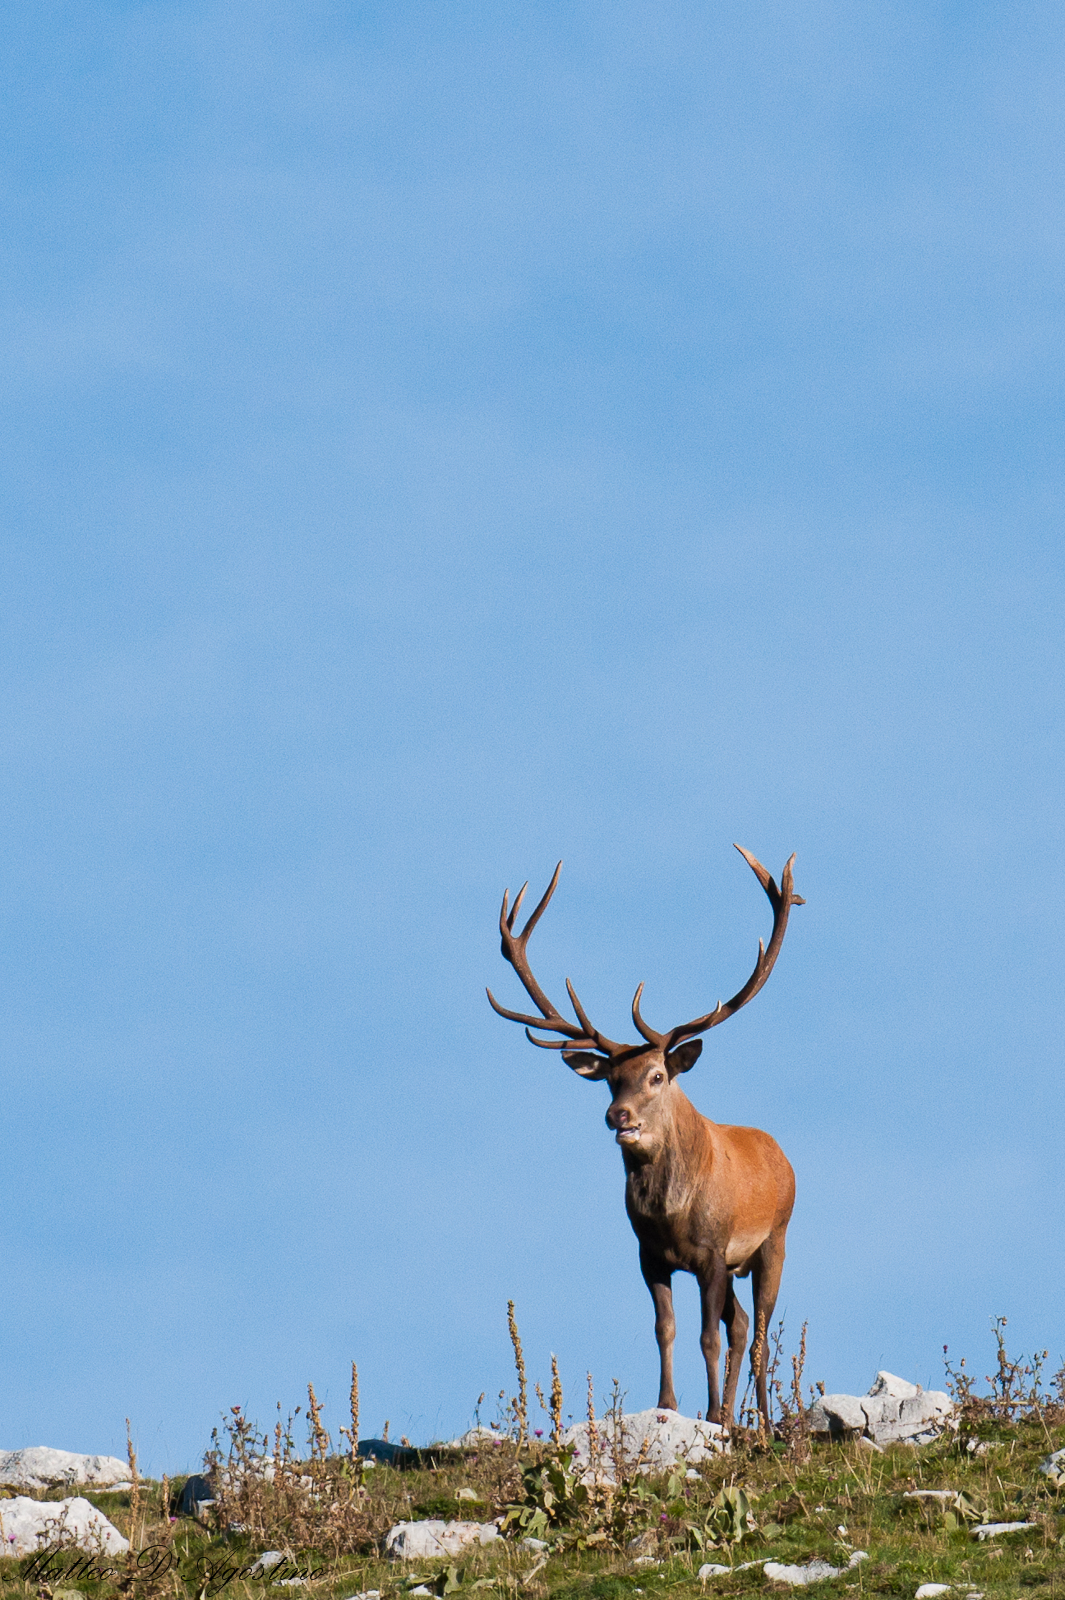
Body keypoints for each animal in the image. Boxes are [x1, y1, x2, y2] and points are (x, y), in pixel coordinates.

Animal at [487, 845, 803, 1432]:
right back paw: (734, 1415)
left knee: (760, 1333)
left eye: (657, 1075)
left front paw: (708, 1414)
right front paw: (670, 1405)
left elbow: (706, 1336)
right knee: (742, 1325)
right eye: (612, 1078)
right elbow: (666, 1329)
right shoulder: (649, 1254)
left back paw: (763, 1422)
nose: (619, 1116)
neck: (671, 1214)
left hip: (774, 1240)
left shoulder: (711, 1252)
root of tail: (782, 1157)